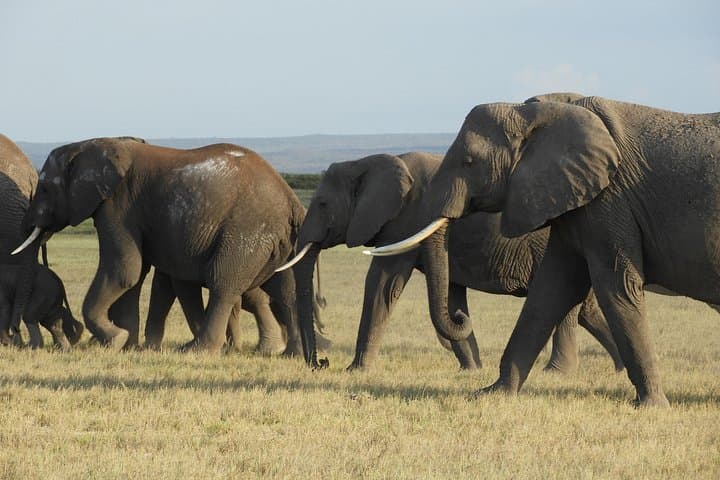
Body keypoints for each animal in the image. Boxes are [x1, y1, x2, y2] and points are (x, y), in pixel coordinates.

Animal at [17, 137, 316, 356]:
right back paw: (290, 353)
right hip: (280, 240)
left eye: (44, 189)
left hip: (247, 231)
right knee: (287, 288)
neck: (89, 144)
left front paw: (115, 340)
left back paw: (197, 350)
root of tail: (290, 199)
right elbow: (135, 276)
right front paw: (128, 345)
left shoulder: (118, 206)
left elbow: (124, 270)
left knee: (223, 283)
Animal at [278, 151, 623, 373]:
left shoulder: (405, 221)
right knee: (587, 311)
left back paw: (557, 373)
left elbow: (383, 284)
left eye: (322, 204)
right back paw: (619, 369)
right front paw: (471, 371)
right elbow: (451, 294)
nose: (320, 364)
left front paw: (355, 371)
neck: (368, 162)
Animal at [369, 94, 720, 407]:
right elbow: (550, 290)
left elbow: (617, 288)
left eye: (468, 162)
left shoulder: (611, 200)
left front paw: (650, 406)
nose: (459, 316)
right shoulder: (572, 200)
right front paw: (491, 395)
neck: (536, 113)